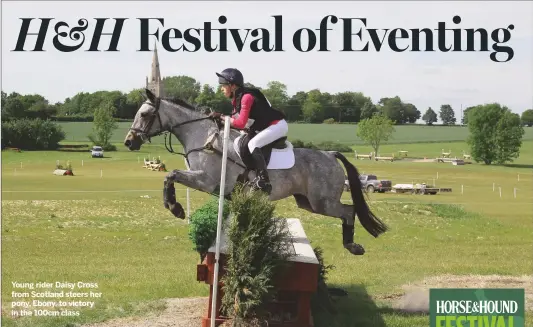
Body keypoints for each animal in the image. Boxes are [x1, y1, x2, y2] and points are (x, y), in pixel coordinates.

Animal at [125, 89, 390, 256]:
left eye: (145, 115)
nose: (129, 142)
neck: (203, 137)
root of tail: (330, 154)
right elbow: (170, 176)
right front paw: (175, 207)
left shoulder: (207, 181)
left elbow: (170, 175)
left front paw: (175, 208)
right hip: (308, 202)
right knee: (346, 211)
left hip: (322, 201)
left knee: (349, 211)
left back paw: (352, 246)